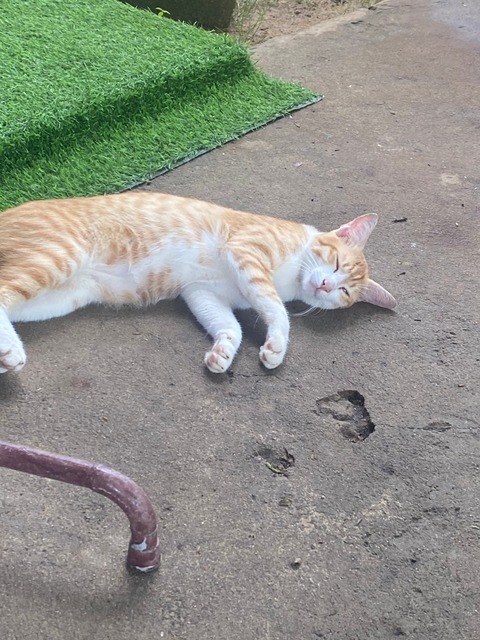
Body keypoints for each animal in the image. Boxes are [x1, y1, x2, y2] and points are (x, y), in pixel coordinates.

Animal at [0, 192, 396, 374]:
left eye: (345, 291)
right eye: (336, 263)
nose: (326, 287)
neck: (292, 273)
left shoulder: (201, 293)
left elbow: (230, 326)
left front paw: (223, 352)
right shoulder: (246, 252)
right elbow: (275, 308)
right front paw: (278, 346)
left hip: (64, 295)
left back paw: (9, 354)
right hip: (60, 257)